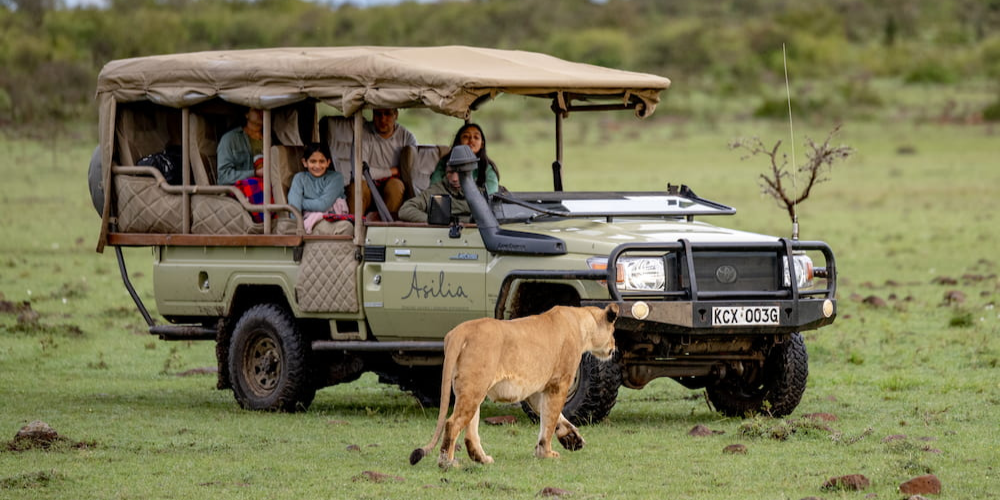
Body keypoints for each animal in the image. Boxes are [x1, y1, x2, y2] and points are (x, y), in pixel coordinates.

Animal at [409, 304, 619, 469]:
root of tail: (460, 331)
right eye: (613, 331)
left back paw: (482, 459)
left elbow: (552, 416)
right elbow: (550, 420)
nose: (614, 346)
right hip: (474, 387)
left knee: (470, 433)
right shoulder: (559, 383)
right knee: (452, 423)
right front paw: (546, 453)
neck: (582, 322)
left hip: (471, 389)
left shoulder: (536, 391)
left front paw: (572, 438)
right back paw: (448, 462)